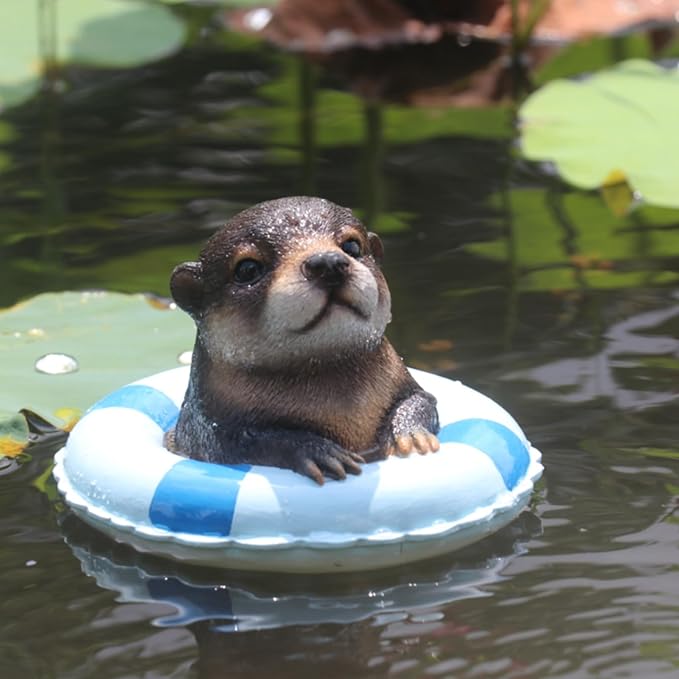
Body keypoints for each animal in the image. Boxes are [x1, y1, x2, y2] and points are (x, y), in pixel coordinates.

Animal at [168, 196, 440, 484]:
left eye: (352, 246)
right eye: (247, 268)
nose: (328, 263)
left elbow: (423, 399)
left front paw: (411, 434)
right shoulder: (209, 434)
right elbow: (252, 440)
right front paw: (319, 452)